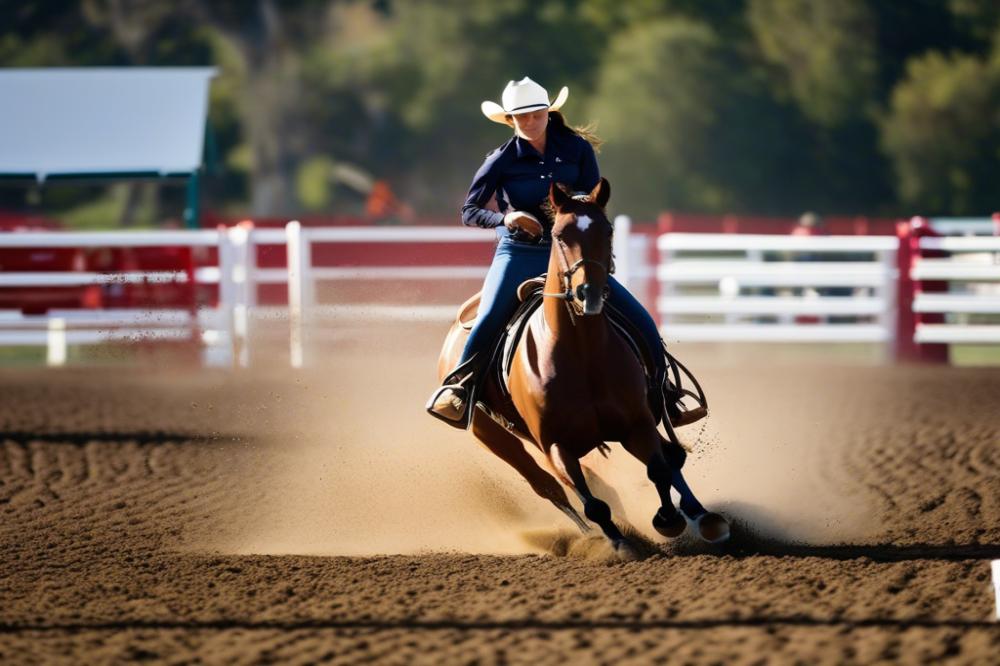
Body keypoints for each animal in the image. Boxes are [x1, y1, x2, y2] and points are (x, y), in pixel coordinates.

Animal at [436, 178, 728, 556]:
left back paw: (702, 517)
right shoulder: (554, 444)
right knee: (548, 486)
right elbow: (592, 503)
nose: (588, 291)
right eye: (559, 234)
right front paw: (621, 543)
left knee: (667, 458)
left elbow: (660, 468)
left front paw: (671, 519)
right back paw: (588, 535)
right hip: (494, 436)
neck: (581, 353)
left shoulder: (637, 424)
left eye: (608, 230)